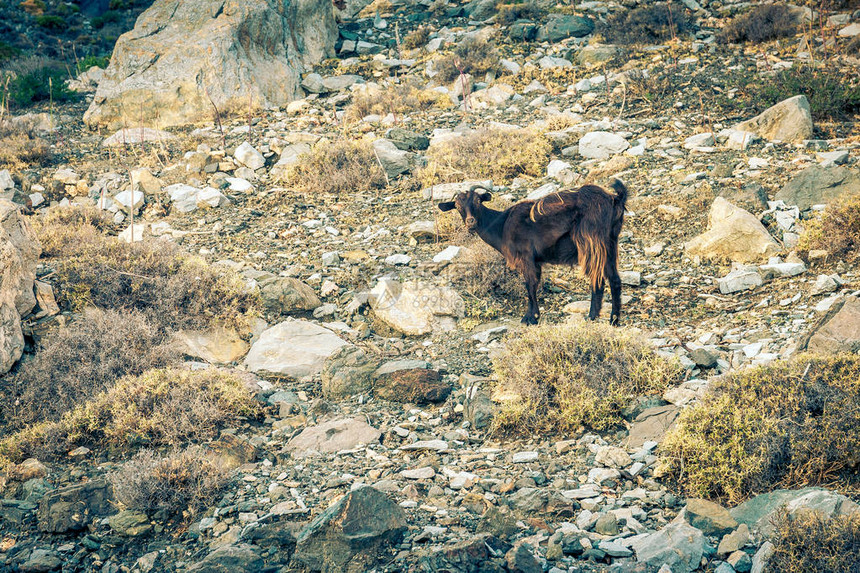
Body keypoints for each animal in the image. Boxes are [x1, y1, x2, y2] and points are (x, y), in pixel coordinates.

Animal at [440, 182, 628, 326]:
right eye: (457, 205)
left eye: (478, 201)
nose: (470, 222)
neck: (501, 225)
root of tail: (614, 199)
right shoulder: (535, 261)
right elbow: (532, 285)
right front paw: (531, 316)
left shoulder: (527, 257)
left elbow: (530, 285)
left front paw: (531, 318)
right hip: (610, 244)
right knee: (614, 279)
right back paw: (614, 319)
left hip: (591, 242)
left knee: (598, 279)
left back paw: (592, 316)